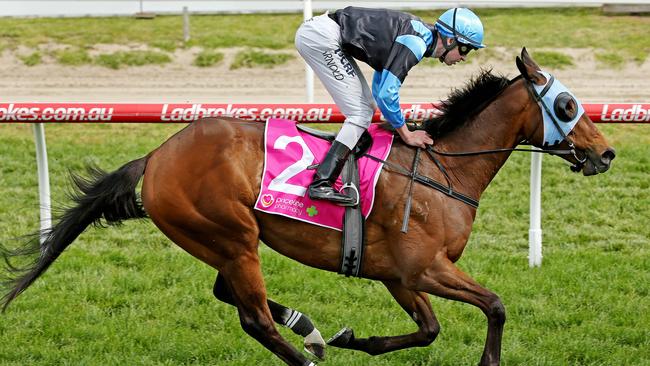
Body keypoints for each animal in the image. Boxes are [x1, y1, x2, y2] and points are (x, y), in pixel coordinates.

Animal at [0, 49, 612, 366]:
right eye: (566, 104)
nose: (605, 153)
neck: (444, 173)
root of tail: (154, 157)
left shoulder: (396, 274)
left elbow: (429, 329)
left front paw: (354, 339)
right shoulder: (424, 268)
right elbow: (496, 305)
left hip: (222, 240)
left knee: (232, 296)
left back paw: (311, 331)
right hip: (230, 236)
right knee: (254, 318)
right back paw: (304, 349)